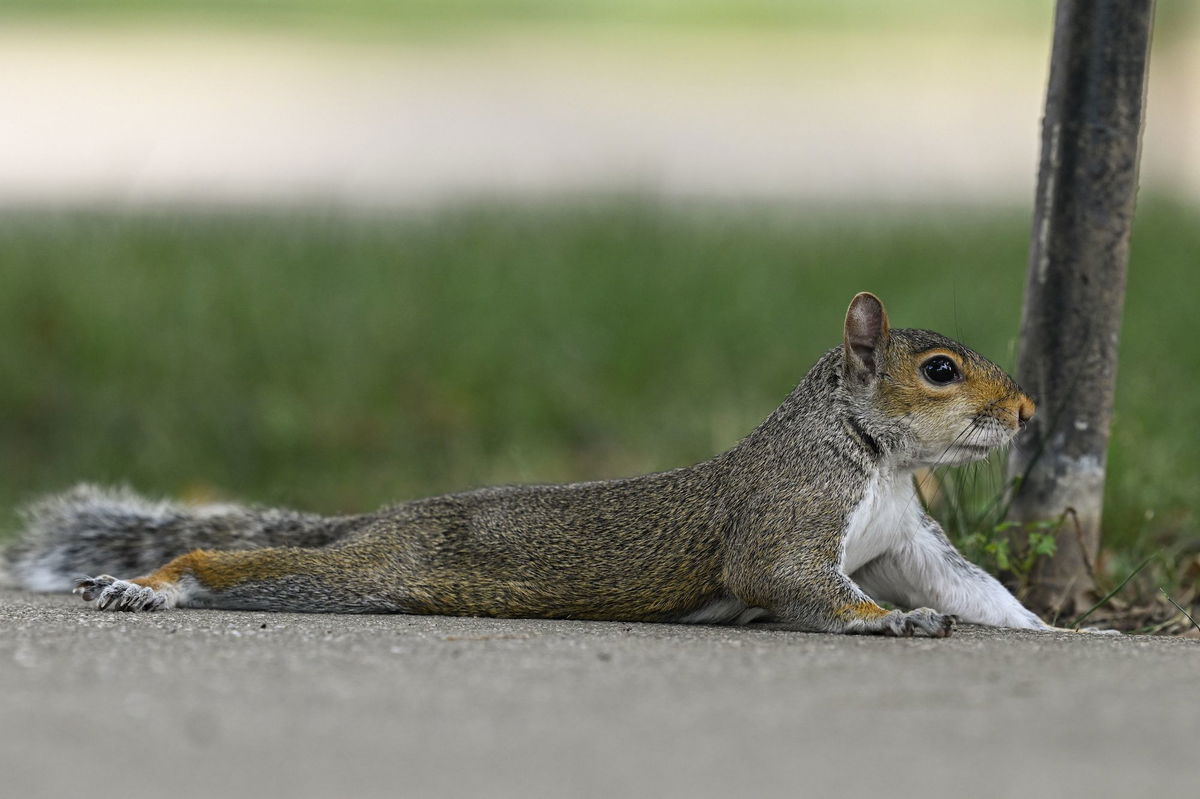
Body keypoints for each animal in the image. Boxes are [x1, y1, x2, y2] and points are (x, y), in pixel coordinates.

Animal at [2, 292, 1051, 633]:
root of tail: (386, 515)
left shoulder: (905, 538)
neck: (875, 458)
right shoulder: (787, 512)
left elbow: (975, 589)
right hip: (378, 568)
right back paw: (150, 585)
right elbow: (788, 579)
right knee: (228, 563)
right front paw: (893, 623)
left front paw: (1056, 628)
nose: (1030, 410)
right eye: (940, 370)